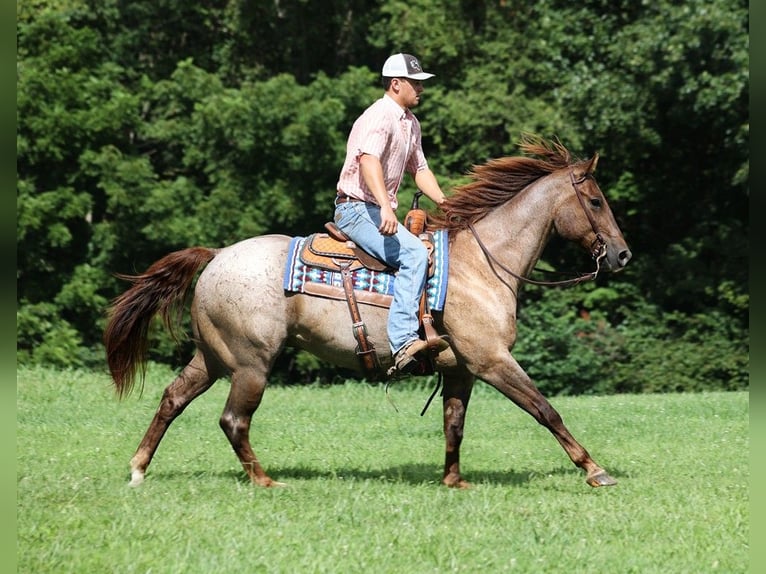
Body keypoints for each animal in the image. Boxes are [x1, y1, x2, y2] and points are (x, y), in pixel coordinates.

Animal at [105, 136, 632, 490]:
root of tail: (216, 255)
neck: (481, 265)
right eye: (595, 200)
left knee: (173, 398)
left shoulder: (461, 369)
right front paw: (595, 470)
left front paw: (453, 481)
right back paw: (265, 480)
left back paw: (137, 469)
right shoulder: (491, 360)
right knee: (234, 420)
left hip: (213, 358)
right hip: (251, 364)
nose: (623, 255)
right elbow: (545, 409)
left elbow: (454, 424)